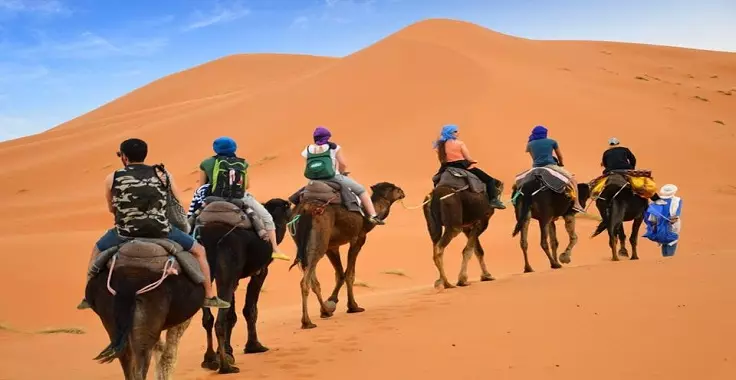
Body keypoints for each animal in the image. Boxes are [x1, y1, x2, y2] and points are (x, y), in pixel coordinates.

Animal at [86, 239, 207, 378]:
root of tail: (130, 283)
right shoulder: (183, 320)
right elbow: (169, 356)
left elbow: (161, 350)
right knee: (141, 364)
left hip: (112, 320)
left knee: (127, 360)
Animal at [196, 199, 294, 374]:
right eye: (287, 206)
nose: (294, 204)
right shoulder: (261, 271)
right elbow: (250, 310)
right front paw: (254, 346)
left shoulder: (236, 278)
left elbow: (231, 315)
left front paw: (227, 352)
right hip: (226, 272)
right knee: (218, 322)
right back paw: (225, 367)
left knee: (208, 318)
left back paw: (209, 359)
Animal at [288, 181, 406, 330]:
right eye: (394, 188)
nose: (402, 192)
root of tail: (305, 210)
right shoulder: (358, 238)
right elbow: (349, 274)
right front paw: (353, 306)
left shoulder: (332, 246)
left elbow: (340, 274)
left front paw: (330, 304)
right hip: (319, 241)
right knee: (305, 281)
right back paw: (307, 322)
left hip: (303, 243)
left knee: (313, 279)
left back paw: (324, 312)